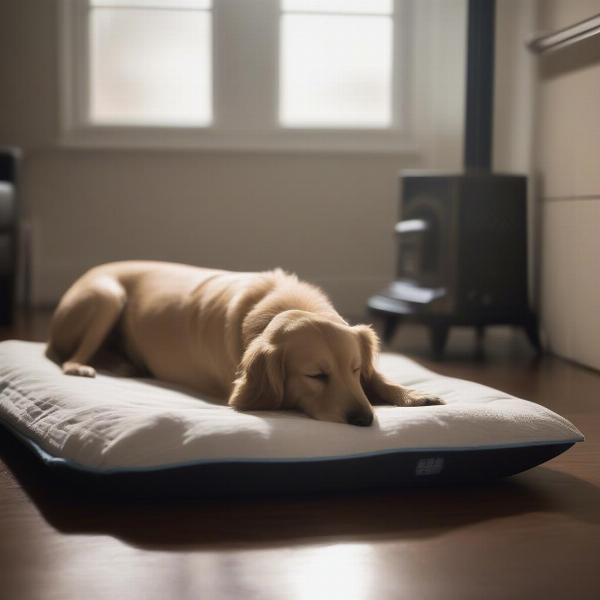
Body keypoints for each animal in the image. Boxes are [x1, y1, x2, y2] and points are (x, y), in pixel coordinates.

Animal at [47, 262, 442, 426]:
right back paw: (88, 365)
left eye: (356, 370)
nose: (363, 419)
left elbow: (382, 380)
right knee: (64, 357)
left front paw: (411, 394)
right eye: (316, 376)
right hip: (106, 296)